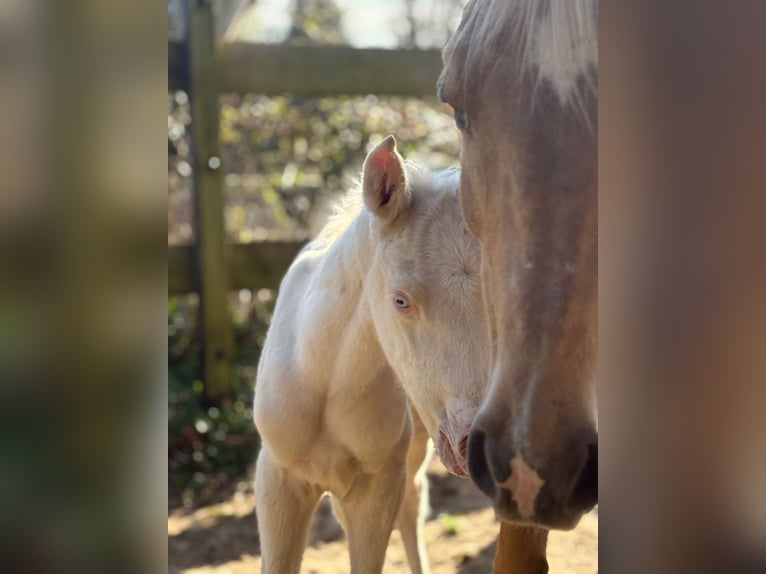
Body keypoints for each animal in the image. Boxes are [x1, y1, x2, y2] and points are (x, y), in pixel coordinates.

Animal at [253, 135, 487, 574]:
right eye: (400, 300)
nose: (477, 447)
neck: (324, 380)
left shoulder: (377, 488)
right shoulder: (278, 480)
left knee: (413, 507)